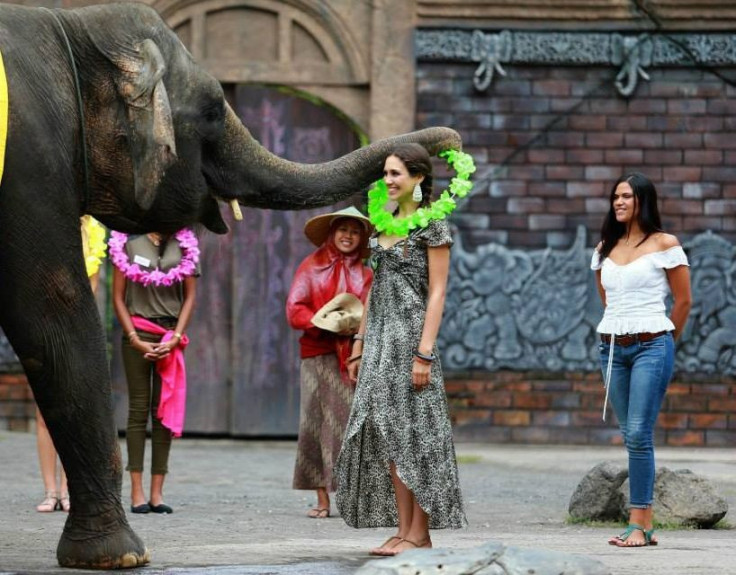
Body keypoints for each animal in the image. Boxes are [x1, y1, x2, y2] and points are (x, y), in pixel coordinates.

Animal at [0, 1, 460, 572]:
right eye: (215, 112)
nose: (447, 147)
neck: (72, 27)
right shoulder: (32, 166)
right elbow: (57, 310)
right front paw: (122, 555)